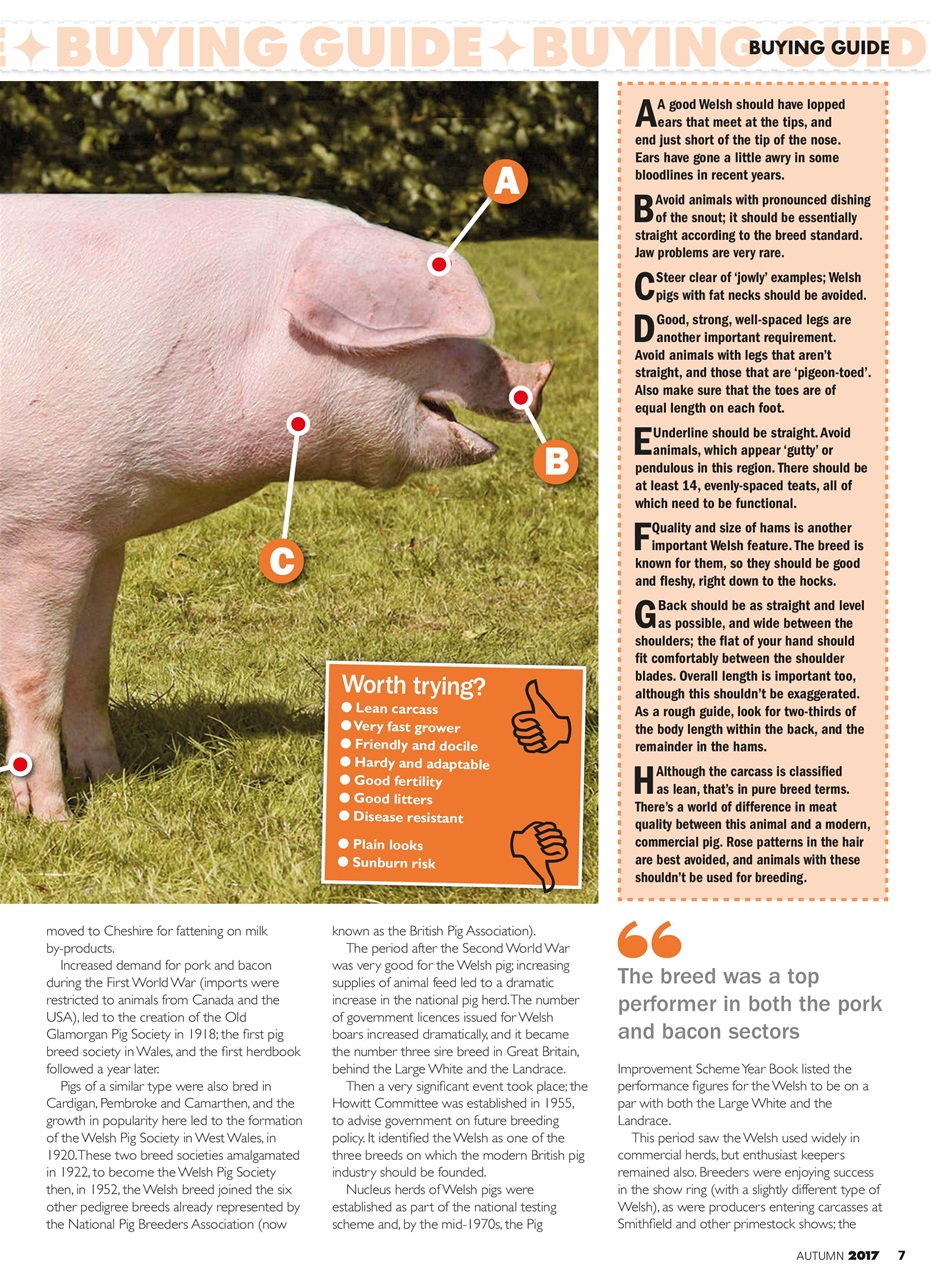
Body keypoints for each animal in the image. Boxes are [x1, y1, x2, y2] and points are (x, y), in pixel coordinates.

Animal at [0, 194, 552, 820]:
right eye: (440, 337)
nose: (540, 375)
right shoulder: (43, 524)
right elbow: (36, 680)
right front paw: (53, 819)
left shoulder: (103, 528)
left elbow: (89, 669)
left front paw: (110, 779)